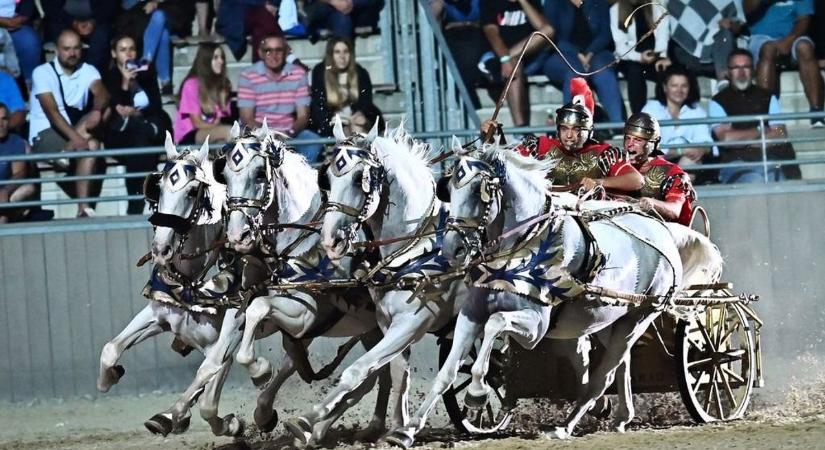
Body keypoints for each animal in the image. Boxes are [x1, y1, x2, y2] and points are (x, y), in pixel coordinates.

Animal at [97, 134, 245, 436]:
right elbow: (111, 349)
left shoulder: (233, 332)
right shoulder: (159, 313)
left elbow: (208, 384)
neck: (194, 284)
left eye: (192, 191)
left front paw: (177, 417)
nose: (161, 249)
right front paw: (110, 377)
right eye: (160, 187)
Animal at [220, 121, 394, 438]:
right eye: (224, 175)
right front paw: (263, 413)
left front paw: (258, 370)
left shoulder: (306, 315)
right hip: (372, 328)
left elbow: (259, 309)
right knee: (378, 373)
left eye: (260, 174)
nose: (238, 236)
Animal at [284, 118, 474, 444]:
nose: (331, 240)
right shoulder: (388, 324)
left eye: (360, 177)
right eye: (327, 178)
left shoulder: (411, 323)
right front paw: (397, 427)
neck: (418, 246)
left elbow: (357, 371)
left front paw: (307, 420)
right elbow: (396, 375)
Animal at [386, 141, 720, 446]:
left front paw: (478, 393)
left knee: (602, 376)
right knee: (620, 364)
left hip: (640, 315)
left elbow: (495, 324)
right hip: (605, 319)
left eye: (481, 191)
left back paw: (565, 426)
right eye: (450, 190)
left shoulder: (535, 325)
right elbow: (448, 372)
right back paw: (620, 417)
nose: (452, 249)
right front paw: (406, 431)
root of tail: (662, 229)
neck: (521, 248)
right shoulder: (471, 313)